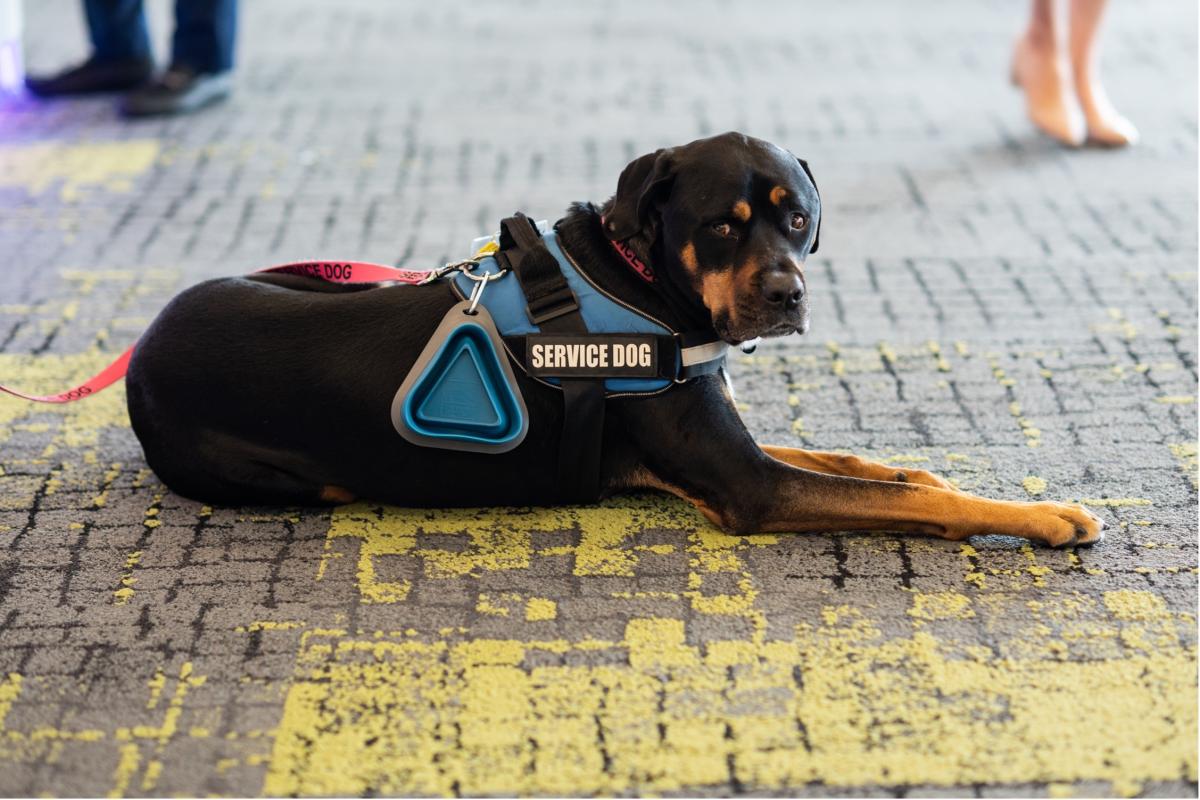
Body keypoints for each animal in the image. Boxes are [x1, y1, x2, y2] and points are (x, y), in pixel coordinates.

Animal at [124, 134, 1104, 546]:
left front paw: (915, 471)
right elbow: (881, 498)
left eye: (797, 218)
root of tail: (139, 352)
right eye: (722, 227)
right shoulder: (747, 487)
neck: (643, 280)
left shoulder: (715, 428)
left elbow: (848, 463)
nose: (786, 295)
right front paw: (1044, 515)